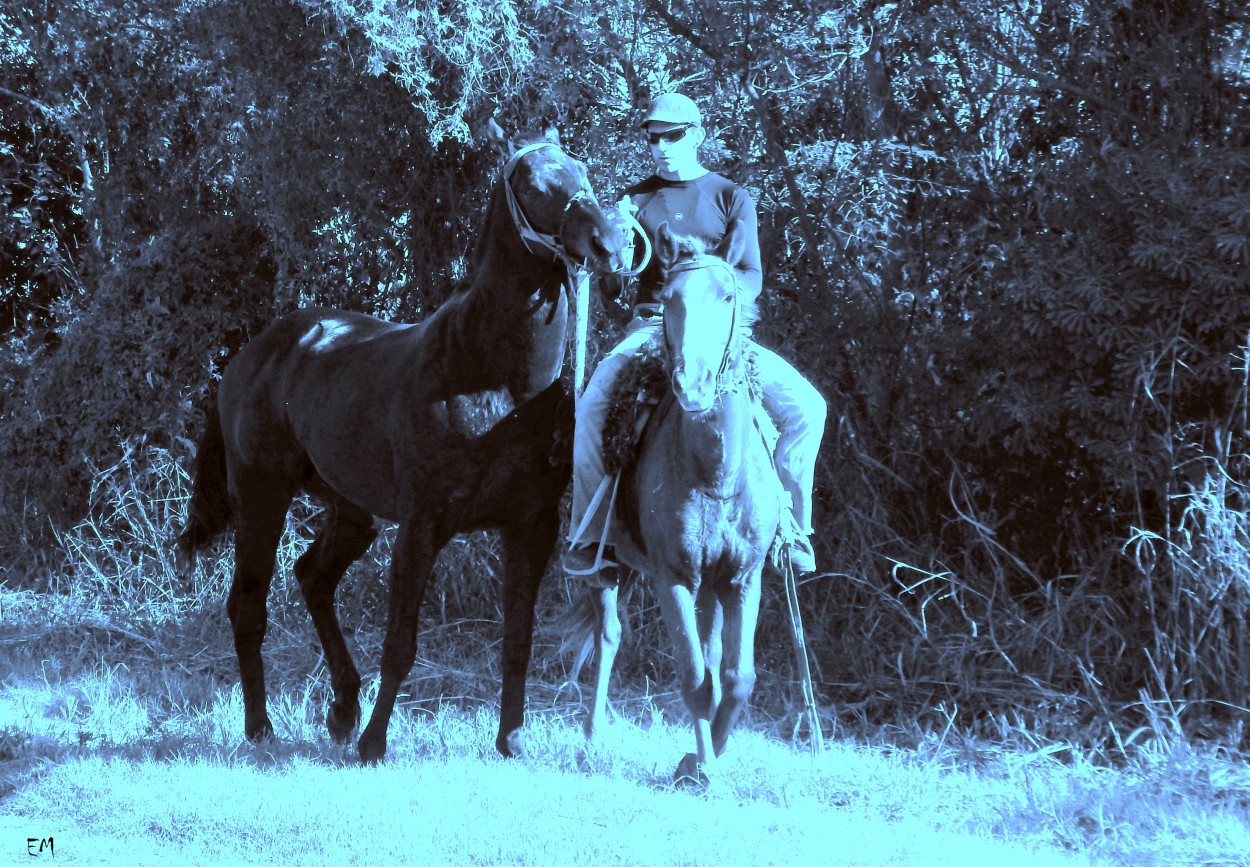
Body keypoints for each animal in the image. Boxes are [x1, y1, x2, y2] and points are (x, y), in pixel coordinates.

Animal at [176, 132, 625, 764]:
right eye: (534, 183)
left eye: (581, 170)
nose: (609, 243)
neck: (495, 381)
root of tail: (250, 355)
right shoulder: (422, 525)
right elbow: (401, 642)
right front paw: (373, 744)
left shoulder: (529, 528)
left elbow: (518, 639)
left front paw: (511, 739)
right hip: (263, 499)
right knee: (248, 605)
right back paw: (262, 727)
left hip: (352, 513)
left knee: (312, 578)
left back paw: (342, 707)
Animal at [577, 221, 775, 784]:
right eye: (667, 298)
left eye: (728, 295)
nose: (693, 384)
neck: (716, 474)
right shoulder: (673, 577)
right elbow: (694, 678)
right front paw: (700, 769)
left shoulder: (741, 578)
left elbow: (735, 677)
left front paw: (704, 757)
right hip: (608, 563)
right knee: (608, 635)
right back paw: (592, 737)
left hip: (710, 587)